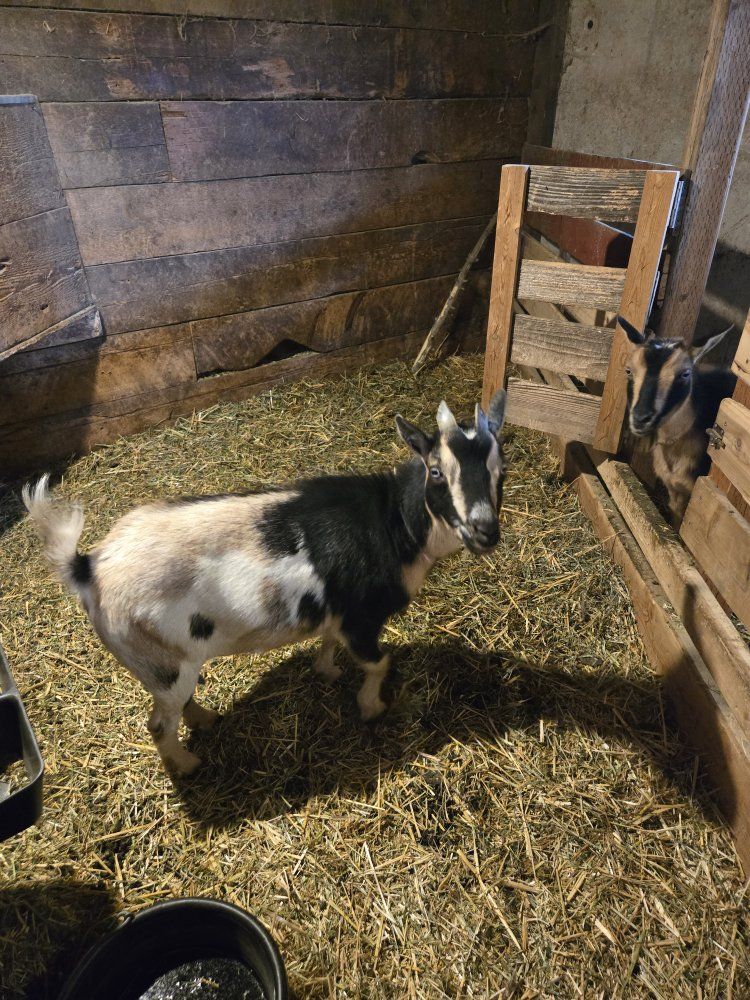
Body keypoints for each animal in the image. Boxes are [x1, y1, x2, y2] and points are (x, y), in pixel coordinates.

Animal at [23, 392, 507, 777]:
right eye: (436, 472)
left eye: (501, 470)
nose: (485, 532)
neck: (394, 525)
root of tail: (88, 566)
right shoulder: (361, 617)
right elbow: (379, 663)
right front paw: (372, 708)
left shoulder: (337, 612)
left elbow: (328, 641)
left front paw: (327, 671)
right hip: (161, 661)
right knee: (159, 723)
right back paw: (187, 765)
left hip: (165, 663)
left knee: (178, 705)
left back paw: (205, 721)